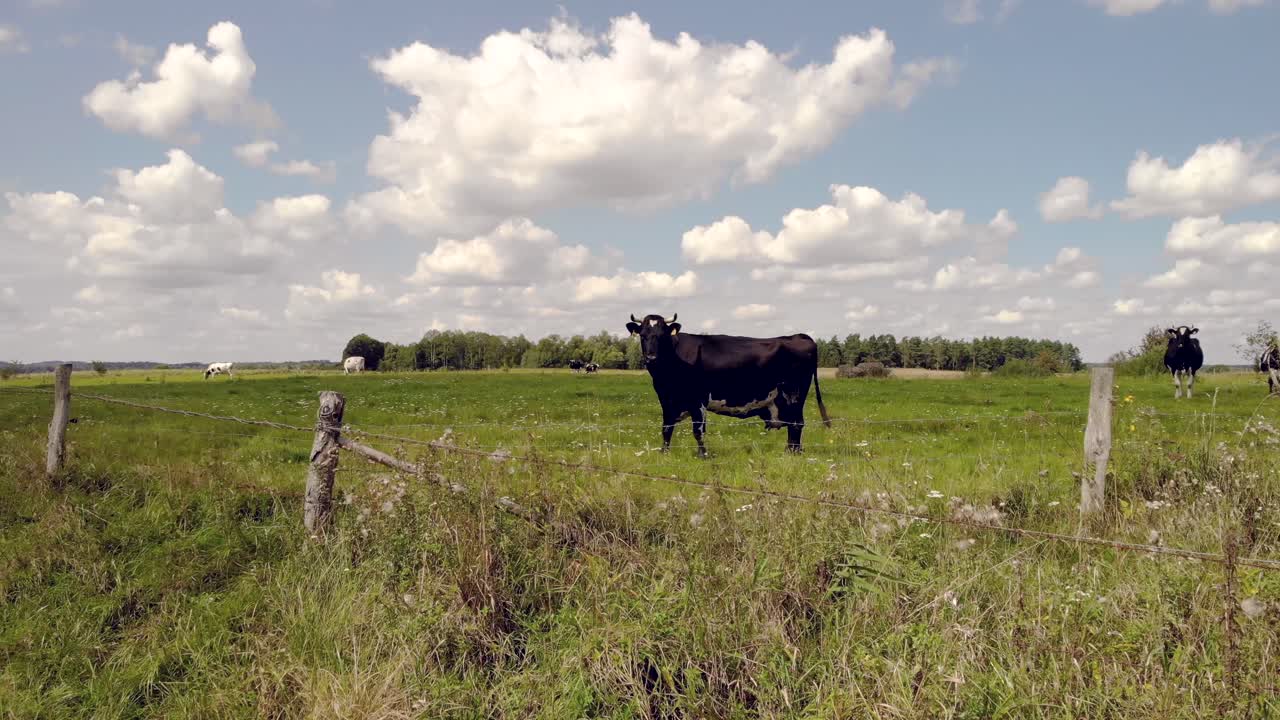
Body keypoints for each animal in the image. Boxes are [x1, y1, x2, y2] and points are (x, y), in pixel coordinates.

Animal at [625, 312, 831, 457]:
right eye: (643, 335)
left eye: (662, 336)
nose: (651, 357)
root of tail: (797, 336)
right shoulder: (666, 400)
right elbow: (666, 429)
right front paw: (664, 453)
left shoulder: (697, 399)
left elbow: (698, 430)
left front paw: (703, 455)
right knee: (793, 425)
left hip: (794, 395)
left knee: (796, 424)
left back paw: (791, 453)